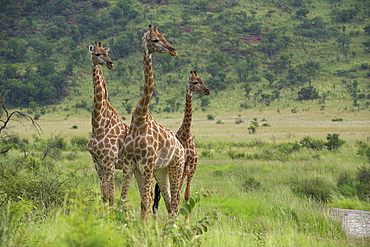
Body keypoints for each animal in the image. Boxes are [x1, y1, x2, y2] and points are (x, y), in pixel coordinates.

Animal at [87, 42, 129, 206]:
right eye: (97, 54)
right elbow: (104, 195)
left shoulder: (109, 161)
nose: (111, 64)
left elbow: (111, 196)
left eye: (107, 53)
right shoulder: (96, 162)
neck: (99, 124)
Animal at [120, 25, 185, 222]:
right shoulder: (130, 165)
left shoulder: (147, 165)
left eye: (163, 36)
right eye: (155, 40)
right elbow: (124, 200)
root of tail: (182, 148)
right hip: (161, 171)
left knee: (175, 200)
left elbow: (146, 202)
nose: (173, 50)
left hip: (176, 166)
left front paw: (144, 227)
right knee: (169, 200)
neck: (139, 119)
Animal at [152, 70, 210, 221]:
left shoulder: (191, 169)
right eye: (195, 82)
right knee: (159, 194)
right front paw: (176, 218)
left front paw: (186, 222)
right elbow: (177, 196)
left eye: (202, 80)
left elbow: (186, 196)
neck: (186, 134)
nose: (207, 91)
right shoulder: (182, 168)